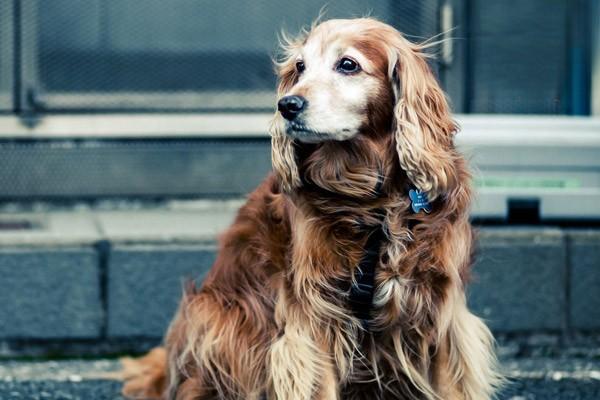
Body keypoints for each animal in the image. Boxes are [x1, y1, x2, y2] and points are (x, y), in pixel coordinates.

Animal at [120, 18, 502, 400]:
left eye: (347, 64)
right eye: (300, 67)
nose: (287, 104)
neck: (372, 202)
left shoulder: (440, 312)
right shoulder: (313, 316)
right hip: (213, 316)